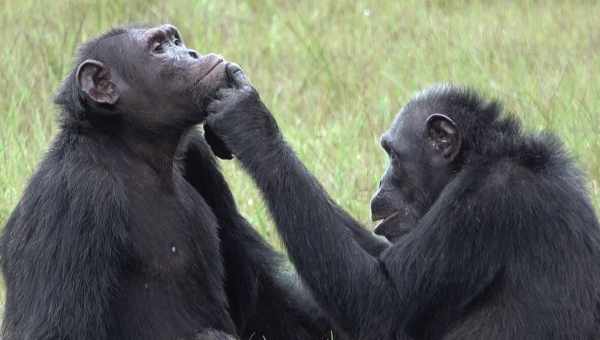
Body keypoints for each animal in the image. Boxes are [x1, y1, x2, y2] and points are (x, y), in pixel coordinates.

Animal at [0, 25, 338, 340]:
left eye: (175, 40)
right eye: (159, 48)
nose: (191, 53)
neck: (134, 148)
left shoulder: (198, 155)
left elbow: (262, 295)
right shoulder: (74, 196)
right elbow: (56, 329)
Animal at [205, 67, 600, 340]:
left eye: (392, 154)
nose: (381, 182)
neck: (478, 158)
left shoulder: (487, 201)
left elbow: (382, 301)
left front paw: (249, 121)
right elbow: (381, 253)